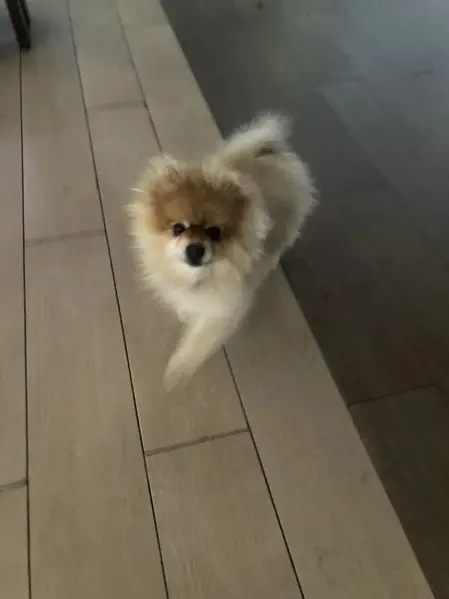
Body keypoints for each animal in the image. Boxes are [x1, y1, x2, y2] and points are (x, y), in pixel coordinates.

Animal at [128, 114, 317, 389]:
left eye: (215, 232)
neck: (200, 277)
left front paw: (176, 372)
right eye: (177, 228)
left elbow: (197, 343)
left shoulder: (223, 309)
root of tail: (268, 151)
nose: (195, 249)